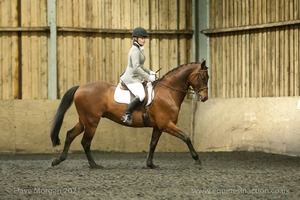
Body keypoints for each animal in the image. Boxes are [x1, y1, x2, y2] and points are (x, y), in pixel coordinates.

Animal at [49, 60, 209, 169]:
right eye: (202, 77)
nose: (205, 98)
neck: (168, 91)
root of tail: (80, 87)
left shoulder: (158, 126)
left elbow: (153, 144)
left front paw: (150, 164)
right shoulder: (166, 124)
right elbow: (186, 137)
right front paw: (197, 160)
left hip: (84, 121)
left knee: (70, 134)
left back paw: (58, 160)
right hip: (92, 122)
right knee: (85, 142)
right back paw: (94, 165)